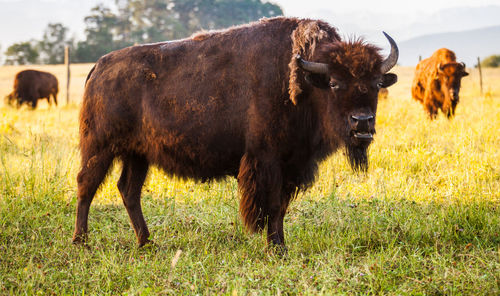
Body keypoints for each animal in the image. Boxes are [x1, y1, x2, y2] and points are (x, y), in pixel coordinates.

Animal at [74, 16, 400, 250]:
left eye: (375, 83)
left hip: (137, 154)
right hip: (100, 147)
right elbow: (271, 205)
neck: (306, 82)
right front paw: (275, 247)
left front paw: (280, 245)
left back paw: (146, 242)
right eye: (334, 83)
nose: (362, 122)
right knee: (86, 185)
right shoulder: (267, 160)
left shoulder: (292, 164)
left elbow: (281, 207)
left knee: (128, 190)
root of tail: (99, 67)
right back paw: (81, 242)